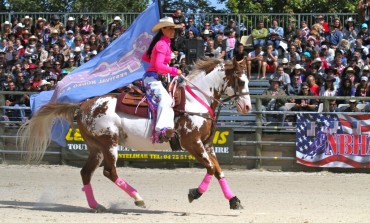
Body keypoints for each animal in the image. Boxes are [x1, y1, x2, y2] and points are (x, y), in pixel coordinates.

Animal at [18, 57, 253, 211]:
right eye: (241, 81)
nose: (248, 107)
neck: (195, 101)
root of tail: (83, 105)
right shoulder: (192, 143)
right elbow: (211, 169)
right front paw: (195, 193)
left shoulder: (207, 145)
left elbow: (218, 170)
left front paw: (233, 200)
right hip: (109, 145)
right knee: (109, 172)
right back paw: (138, 199)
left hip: (96, 148)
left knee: (86, 173)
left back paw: (96, 205)